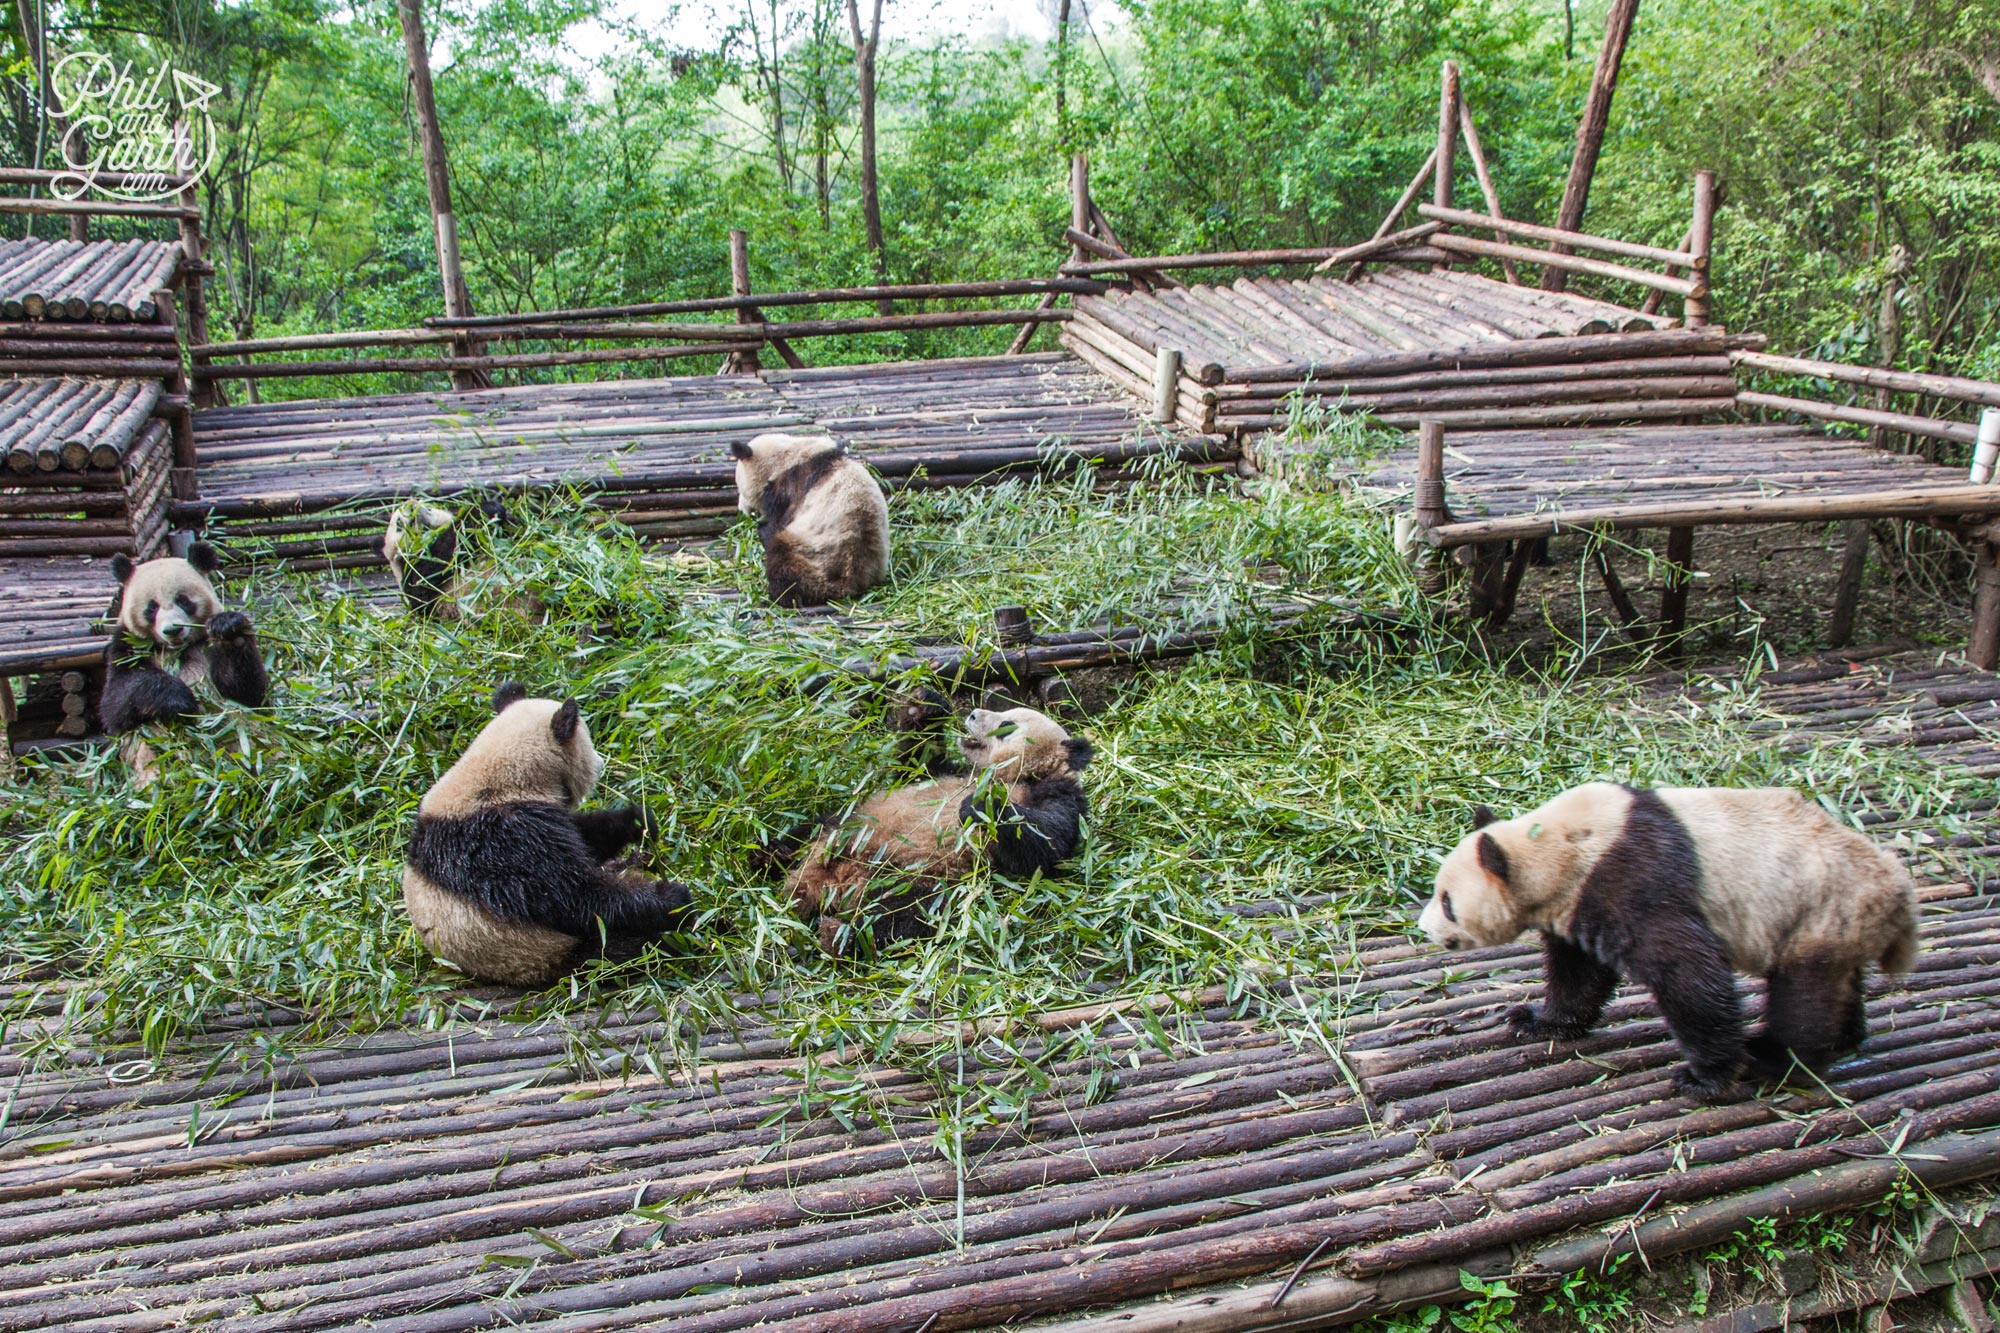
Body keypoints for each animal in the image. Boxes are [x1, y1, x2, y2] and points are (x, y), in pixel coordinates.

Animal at [101, 540, 270, 768]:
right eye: (152, 607)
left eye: (183, 600)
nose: (173, 630)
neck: (176, 650)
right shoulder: (127, 645)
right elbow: (117, 700)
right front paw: (178, 698)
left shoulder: (205, 647)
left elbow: (248, 693)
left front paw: (229, 629)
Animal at [402, 680, 700, 980]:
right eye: (588, 743)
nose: (600, 763)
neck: (500, 774)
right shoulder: (506, 838)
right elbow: (573, 896)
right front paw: (673, 898)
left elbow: (586, 838)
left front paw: (638, 822)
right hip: (547, 949)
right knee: (622, 949)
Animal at [732, 430, 888, 608]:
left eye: (740, 488)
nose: (741, 509)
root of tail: (848, 583)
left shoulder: (792, 486)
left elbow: (777, 523)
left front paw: (763, 528)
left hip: (815, 554)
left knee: (783, 559)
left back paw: (782, 596)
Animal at [1424, 780, 1920, 1096]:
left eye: (1447, 902)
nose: (1425, 928)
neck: (1555, 843)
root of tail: (1898, 898)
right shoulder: (1579, 901)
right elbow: (1580, 972)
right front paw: (1538, 1022)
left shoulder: (1632, 880)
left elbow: (1688, 973)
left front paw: (1705, 1078)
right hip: (1836, 922)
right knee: (1837, 984)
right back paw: (1845, 1040)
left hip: (1818, 907)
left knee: (1804, 997)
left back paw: (1775, 1057)